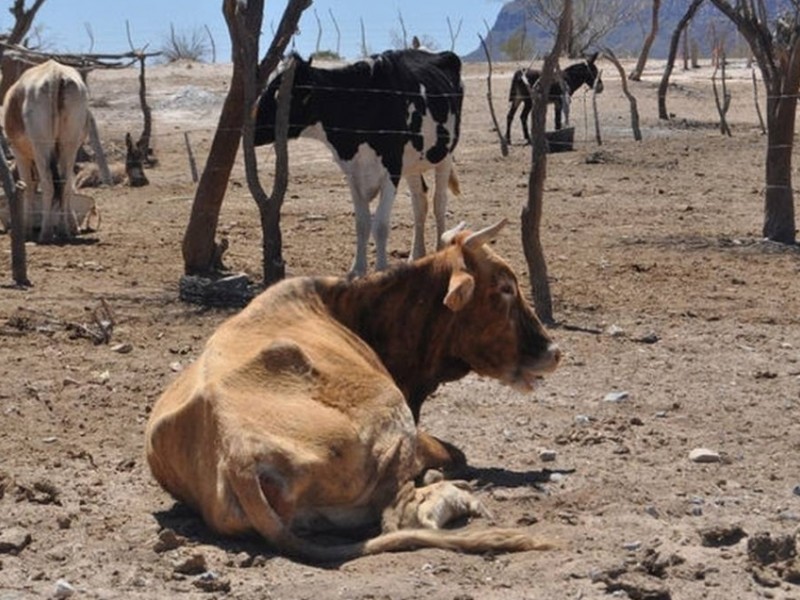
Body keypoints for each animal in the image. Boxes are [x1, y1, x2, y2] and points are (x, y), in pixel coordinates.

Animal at [2, 58, 89, 241]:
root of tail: (55, 74)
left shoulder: (20, 153)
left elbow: (28, 186)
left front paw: (26, 229)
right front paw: (73, 227)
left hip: (41, 148)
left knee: (49, 183)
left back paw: (46, 233)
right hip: (69, 146)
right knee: (64, 184)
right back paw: (62, 230)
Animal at [147, 219, 564, 564]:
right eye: (505, 287)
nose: (553, 350)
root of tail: (239, 455)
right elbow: (454, 454)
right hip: (391, 414)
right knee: (402, 516)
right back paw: (454, 493)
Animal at [250, 51, 462, 276]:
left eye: (278, 95)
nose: (250, 129)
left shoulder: (392, 169)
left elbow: (380, 225)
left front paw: (381, 270)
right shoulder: (352, 172)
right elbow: (362, 223)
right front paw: (357, 270)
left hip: (445, 155)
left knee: (439, 202)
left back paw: (439, 250)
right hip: (412, 163)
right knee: (419, 201)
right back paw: (416, 256)